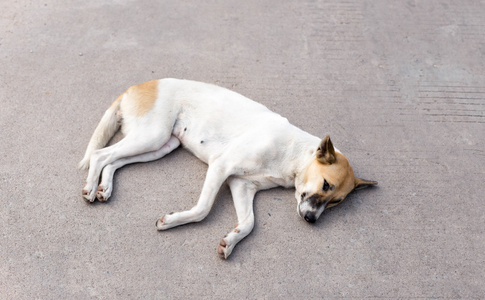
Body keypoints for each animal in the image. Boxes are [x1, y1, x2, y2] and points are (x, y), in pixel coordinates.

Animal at [78, 78, 374, 258]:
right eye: (325, 184)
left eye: (336, 202)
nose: (311, 220)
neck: (292, 154)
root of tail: (138, 85)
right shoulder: (221, 167)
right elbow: (203, 209)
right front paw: (172, 221)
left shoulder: (241, 186)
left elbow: (249, 223)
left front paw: (231, 241)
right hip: (152, 136)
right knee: (100, 154)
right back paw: (91, 187)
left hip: (161, 145)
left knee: (112, 161)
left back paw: (104, 187)